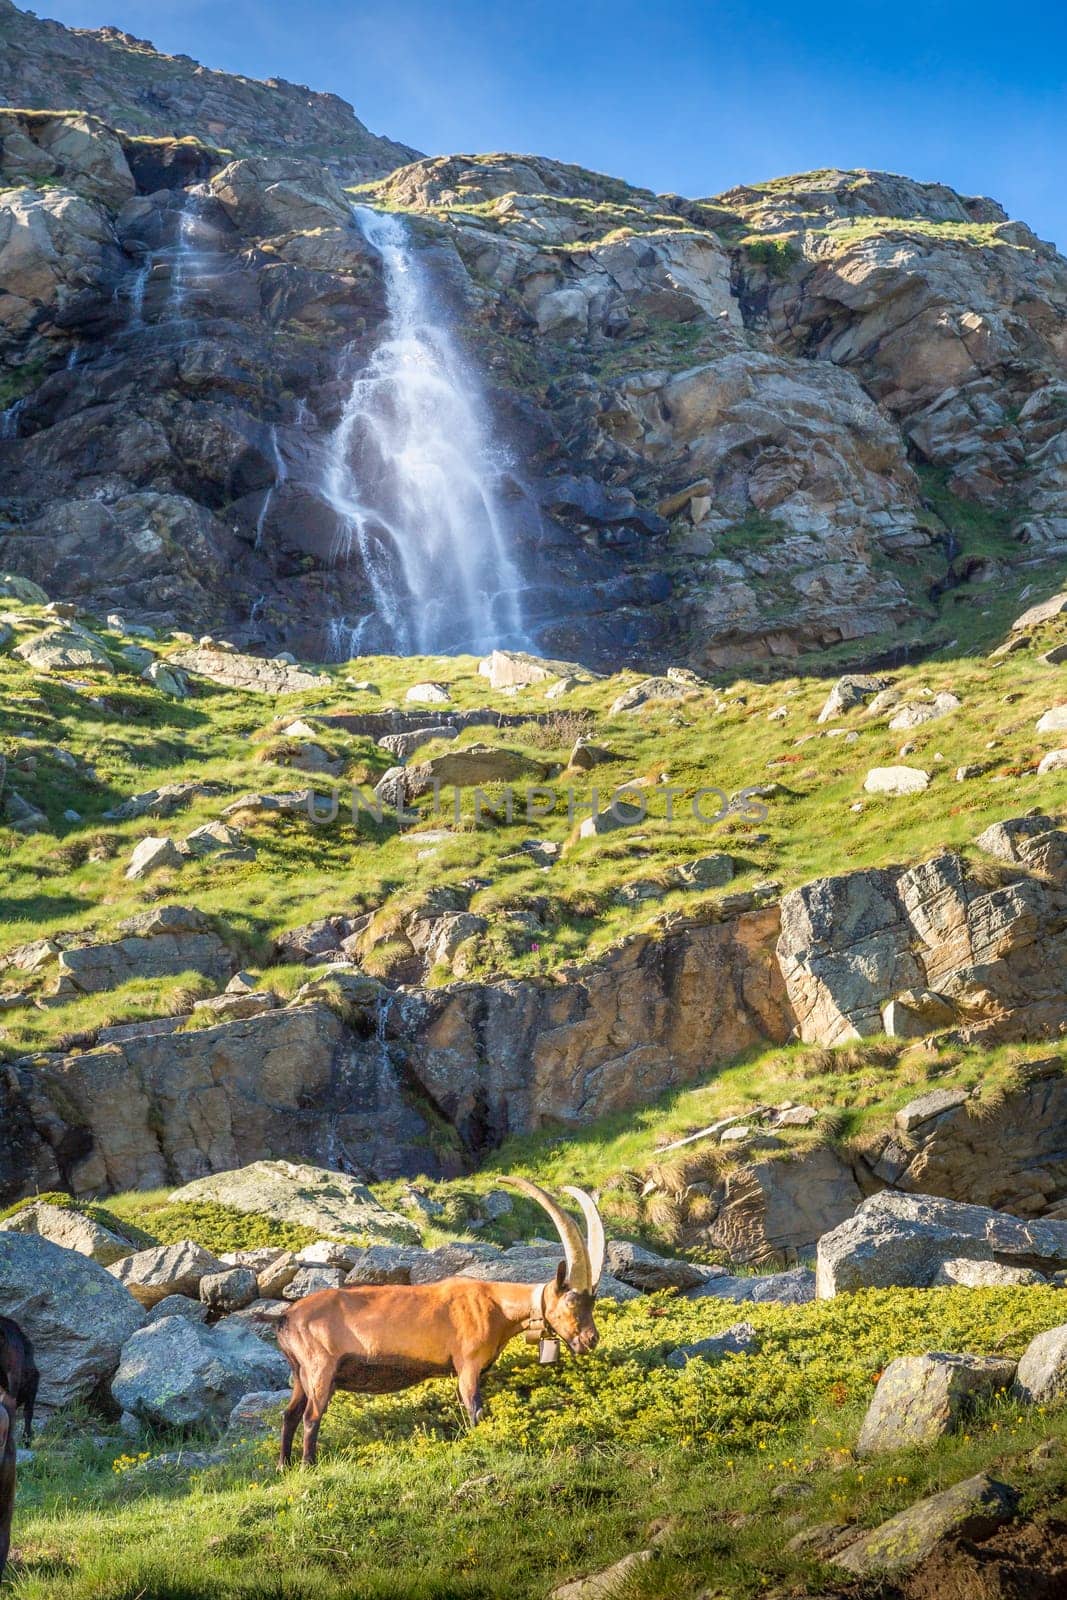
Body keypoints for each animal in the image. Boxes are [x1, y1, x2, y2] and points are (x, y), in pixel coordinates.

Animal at [279, 1184, 604, 1465]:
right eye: (572, 1301)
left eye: (593, 1301)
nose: (591, 1339)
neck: (496, 1305)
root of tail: (286, 1318)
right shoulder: (468, 1363)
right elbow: (475, 1410)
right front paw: (481, 1445)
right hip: (320, 1368)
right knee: (311, 1416)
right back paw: (308, 1464)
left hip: (300, 1373)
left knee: (289, 1414)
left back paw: (284, 1465)